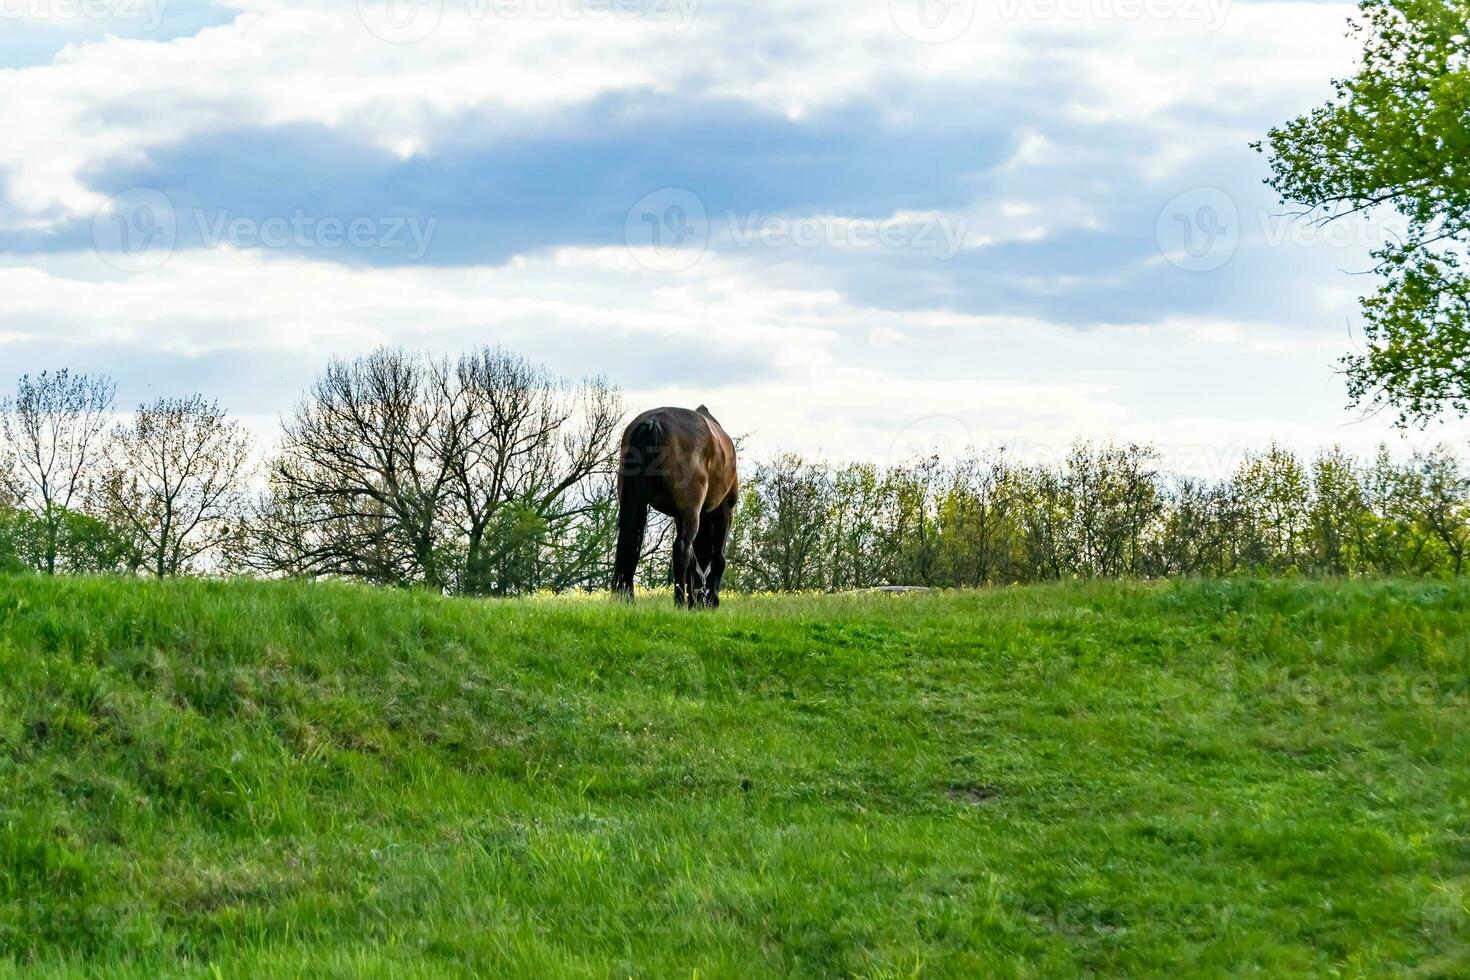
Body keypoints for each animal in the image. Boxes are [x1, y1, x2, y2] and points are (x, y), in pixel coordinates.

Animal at [614, 405, 740, 605]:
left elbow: (694, 561)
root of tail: (653, 421)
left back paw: (628, 599)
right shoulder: (724, 511)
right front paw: (710, 599)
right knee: (681, 549)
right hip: (691, 510)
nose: (703, 601)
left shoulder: (678, 516)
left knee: (629, 547)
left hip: (635, 504)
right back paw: (680, 601)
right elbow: (719, 558)